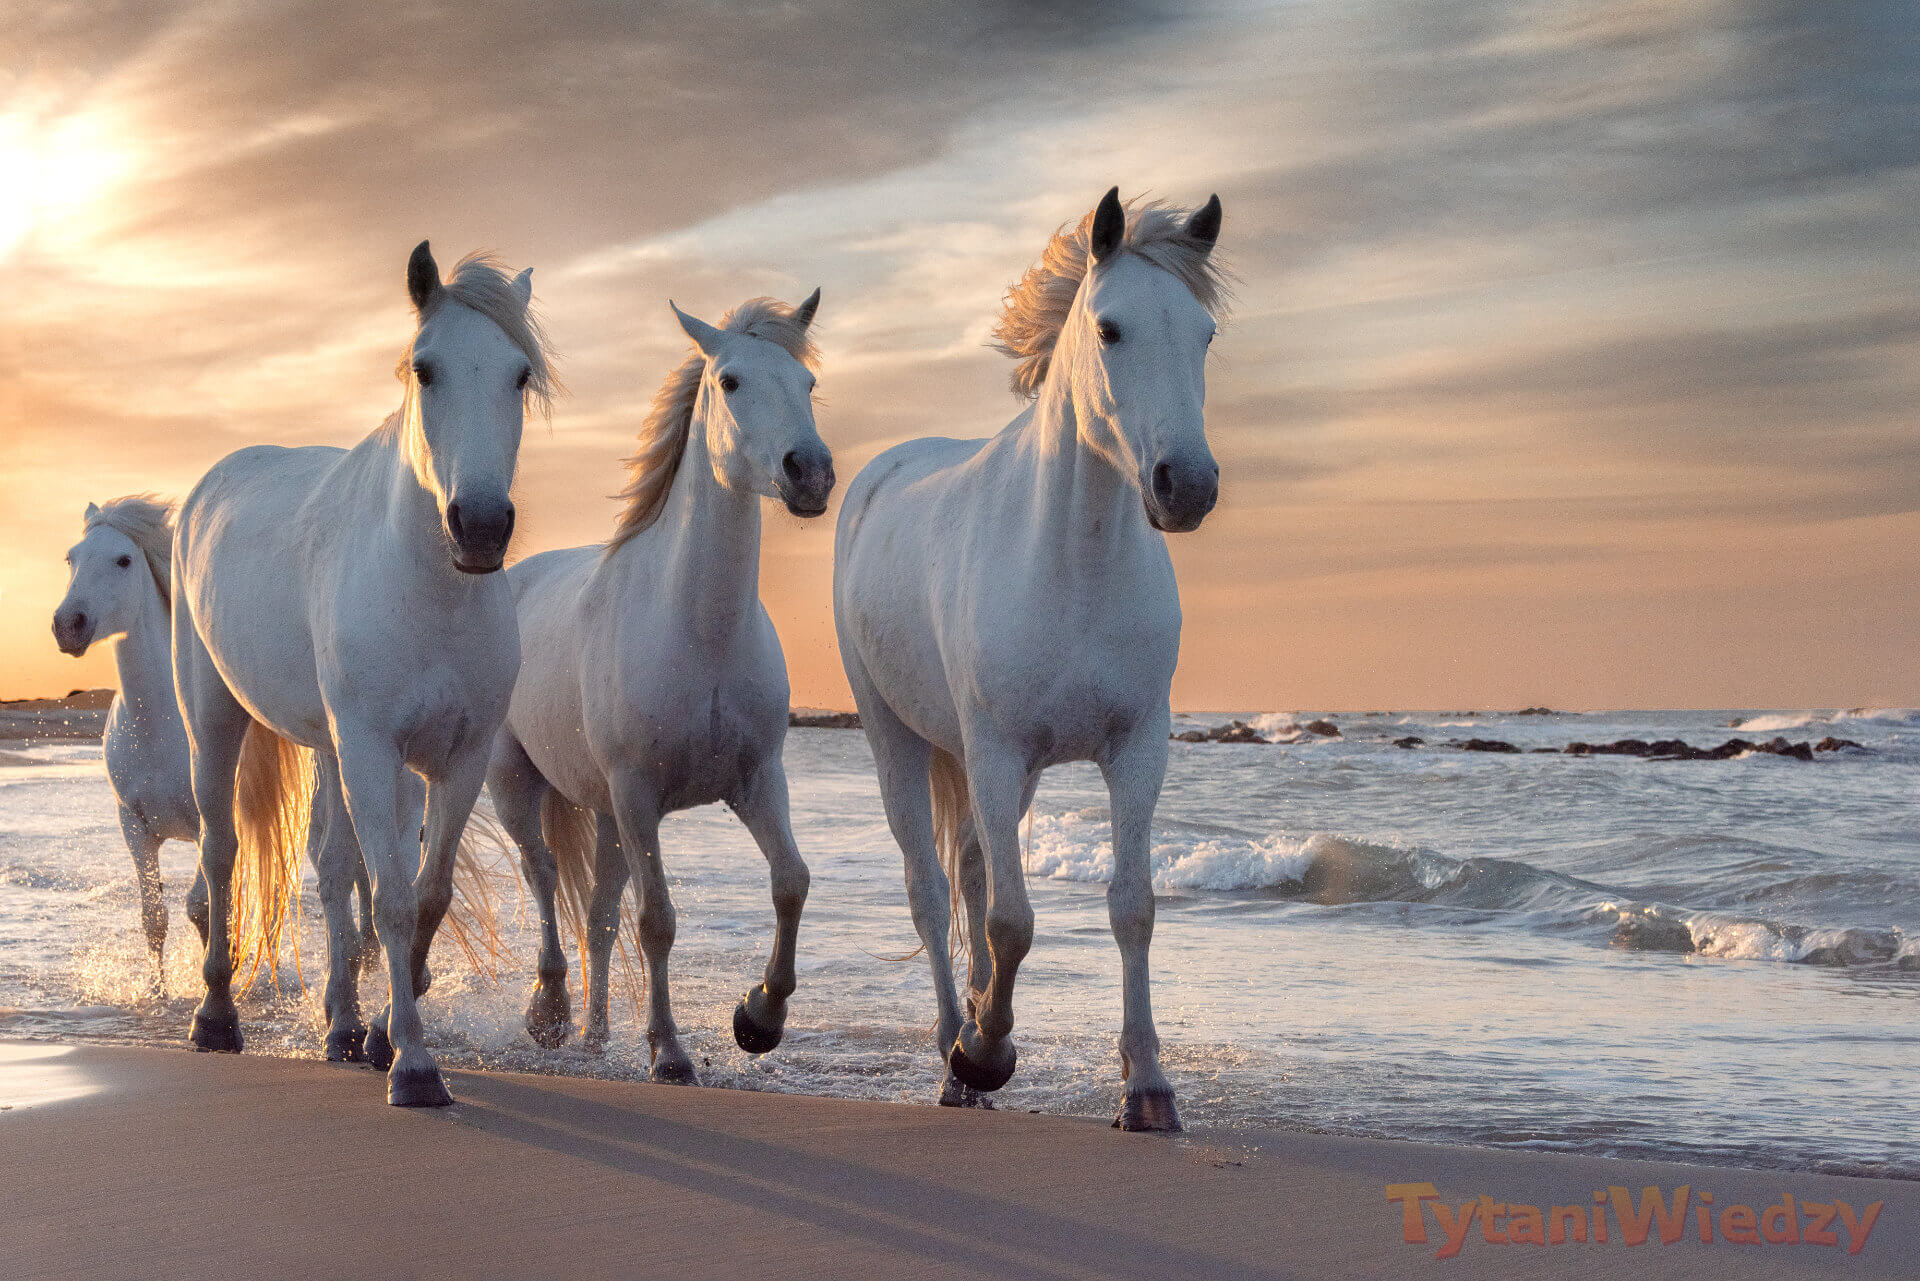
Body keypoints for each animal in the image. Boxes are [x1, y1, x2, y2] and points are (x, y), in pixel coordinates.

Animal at [172, 245, 549, 1106]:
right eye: (426, 368)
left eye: (518, 374)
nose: (480, 526)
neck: (430, 591)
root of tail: (210, 485)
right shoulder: (374, 751)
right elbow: (395, 901)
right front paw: (413, 1065)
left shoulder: (456, 757)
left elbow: (422, 894)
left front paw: (381, 1035)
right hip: (213, 719)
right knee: (220, 849)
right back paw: (215, 1016)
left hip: (329, 746)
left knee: (332, 865)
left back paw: (342, 1026)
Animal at [483, 293, 829, 1083]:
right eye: (730, 381)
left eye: (807, 382)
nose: (810, 472)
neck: (697, 631)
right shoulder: (639, 793)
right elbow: (658, 920)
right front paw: (669, 1051)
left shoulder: (757, 781)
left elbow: (790, 881)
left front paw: (758, 1018)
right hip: (518, 784)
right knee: (544, 875)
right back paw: (550, 1013)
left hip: (607, 814)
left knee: (598, 913)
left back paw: (595, 1034)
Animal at [833, 190, 1221, 1129]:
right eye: (1110, 329)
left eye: (1204, 333)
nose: (1186, 485)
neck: (1073, 564)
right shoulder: (997, 749)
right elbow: (1012, 920)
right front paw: (985, 1051)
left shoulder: (1136, 749)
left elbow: (1132, 906)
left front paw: (1148, 1086)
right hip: (897, 739)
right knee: (932, 891)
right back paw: (955, 1050)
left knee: (972, 869)